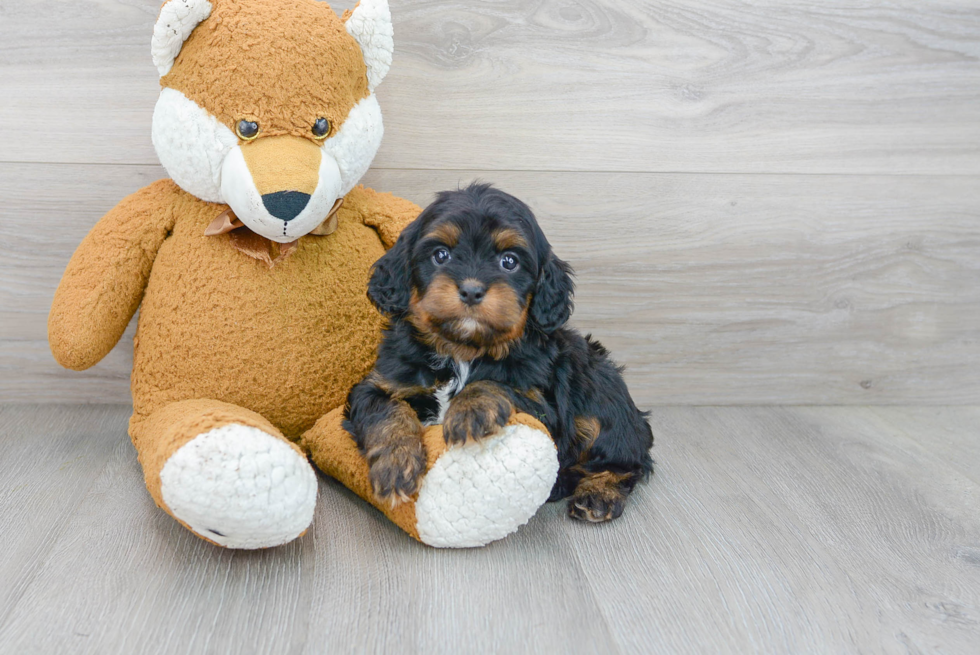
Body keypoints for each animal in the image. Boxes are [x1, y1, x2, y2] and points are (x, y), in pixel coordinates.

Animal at [342, 183, 652, 524]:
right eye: (441, 255)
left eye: (509, 261)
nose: (471, 290)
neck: (461, 351)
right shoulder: (380, 383)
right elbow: (386, 410)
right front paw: (396, 463)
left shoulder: (543, 405)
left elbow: (497, 383)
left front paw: (470, 410)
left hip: (602, 397)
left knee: (626, 459)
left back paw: (599, 493)